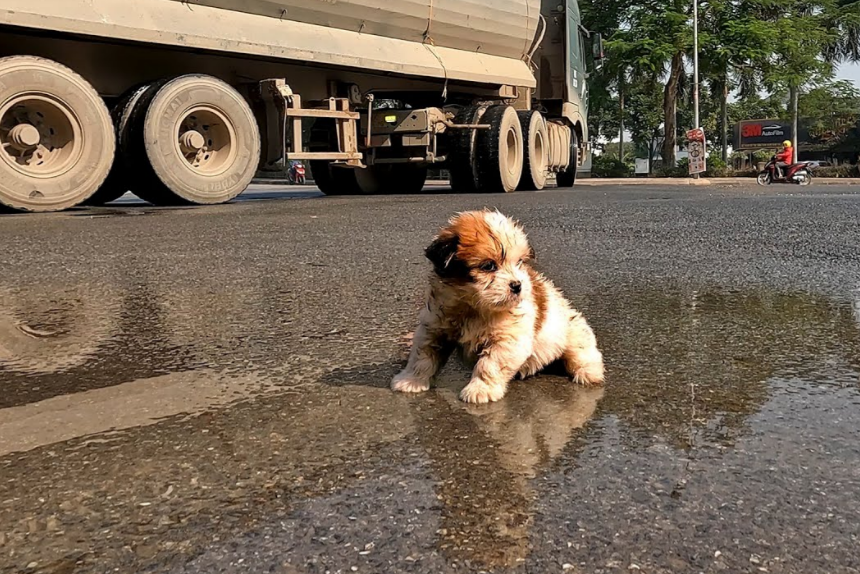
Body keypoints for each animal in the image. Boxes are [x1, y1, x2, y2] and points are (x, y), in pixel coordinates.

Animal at [392, 212, 604, 404]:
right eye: (488, 266)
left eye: (519, 262)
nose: (517, 285)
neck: (473, 307)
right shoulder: (435, 326)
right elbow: (422, 357)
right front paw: (410, 380)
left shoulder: (508, 339)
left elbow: (489, 364)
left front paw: (480, 390)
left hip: (573, 333)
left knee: (582, 353)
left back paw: (589, 372)